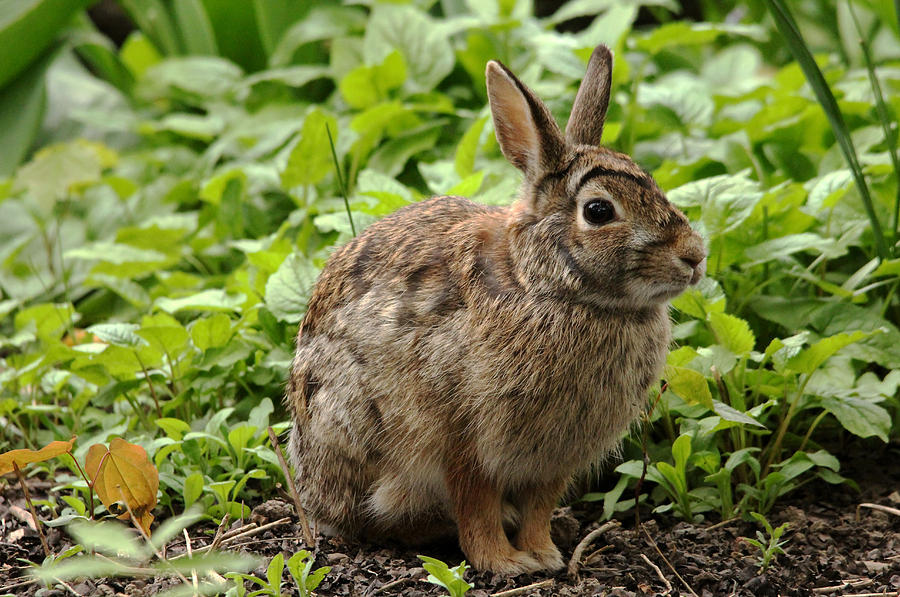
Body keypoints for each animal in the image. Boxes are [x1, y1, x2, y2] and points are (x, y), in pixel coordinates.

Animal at [284, 44, 708, 576]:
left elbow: (540, 507)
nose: (694, 256)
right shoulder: (467, 444)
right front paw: (505, 564)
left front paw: (544, 554)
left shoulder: (552, 458)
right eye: (598, 212)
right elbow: (476, 505)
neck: (545, 284)